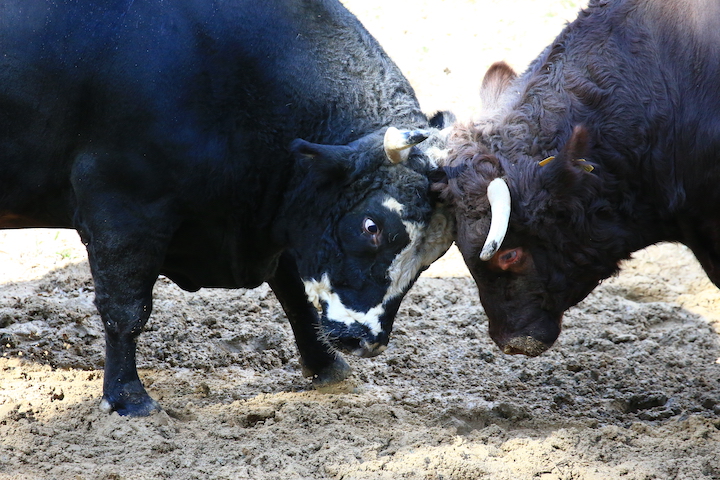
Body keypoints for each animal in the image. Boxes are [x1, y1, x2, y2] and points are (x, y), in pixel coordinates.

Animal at [0, 0, 452, 416]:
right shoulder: (122, 209)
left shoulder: (287, 224)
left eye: (431, 258)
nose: (367, 341)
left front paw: (328, 367)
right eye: (372, 226)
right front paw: (129, 398)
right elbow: (125, 309)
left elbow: (297, 297)